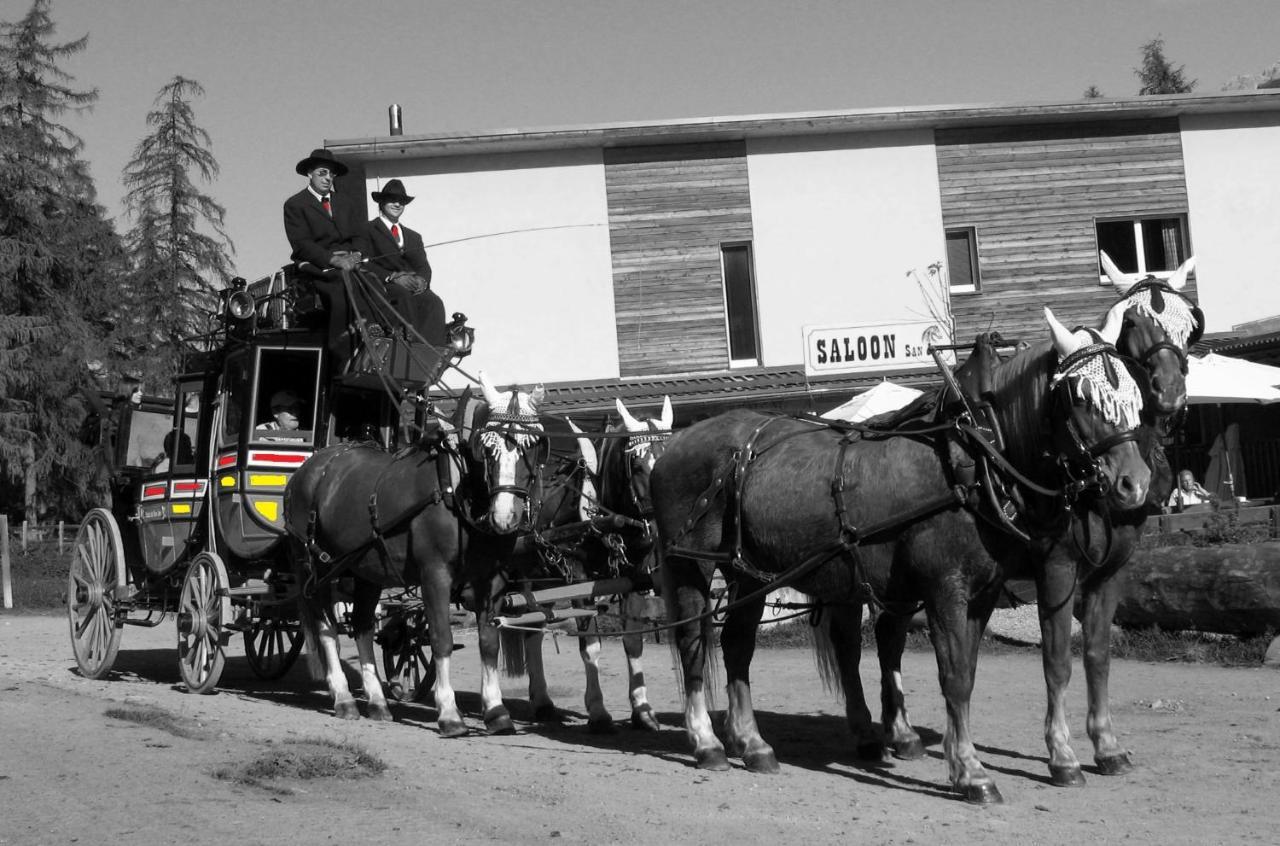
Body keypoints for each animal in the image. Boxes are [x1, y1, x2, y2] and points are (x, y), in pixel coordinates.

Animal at [285, 368, 545, 732]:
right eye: (486, 446)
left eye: (533, 445)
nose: (505, 515)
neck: (457, 488)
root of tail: (307, 471)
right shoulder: (434, 574)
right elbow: (441, 638)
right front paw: (449, 713)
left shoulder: (490, 580)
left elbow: (488, 641)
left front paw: (496, 711)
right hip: (317, 567)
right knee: (325, 627)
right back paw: (344, 698)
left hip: (366, 569)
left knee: (362, 625)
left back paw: (377, 702)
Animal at [504, 396, 675, 732]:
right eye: (637, 466)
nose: (659, 526)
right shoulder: (580, 579)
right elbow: (591, 646)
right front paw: (598, 712)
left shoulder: (633, 578)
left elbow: (633, 642)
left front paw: (642, 710)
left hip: (539, 577)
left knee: (533, 632)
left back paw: (542, 702)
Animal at [650, 308, 1152, 798]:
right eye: (1082, 398)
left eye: (1133, 393)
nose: (1136, 483)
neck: (974, 456)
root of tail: (673, 446)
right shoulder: (960, 586)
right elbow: (966, 675)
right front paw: (973, 770)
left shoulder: (985, 593)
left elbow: (971, 671)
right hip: (691, 568)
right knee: (693, 644)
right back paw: (707, 741)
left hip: (750, 576)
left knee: (740, 646)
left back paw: (753, 743)